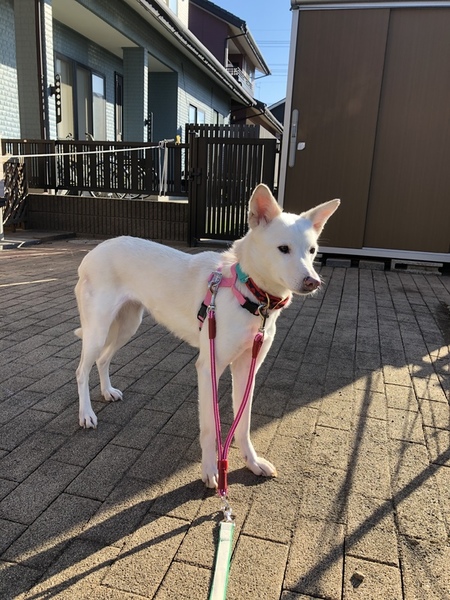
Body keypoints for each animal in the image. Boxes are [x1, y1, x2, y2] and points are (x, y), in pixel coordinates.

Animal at [74, 184, 339, 488]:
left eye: (312, 250)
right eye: (283, 249)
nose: (312, 282)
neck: (249, 293)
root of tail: (94, 251)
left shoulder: (248, 367)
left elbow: (244, 422)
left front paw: (252, 462)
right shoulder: (208, 366)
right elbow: (210, 427)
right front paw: (211, 470)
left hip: (127, 325)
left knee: (103, 360)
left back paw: (107, 392)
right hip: (98, 329)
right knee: (81, 370)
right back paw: (86, 414)